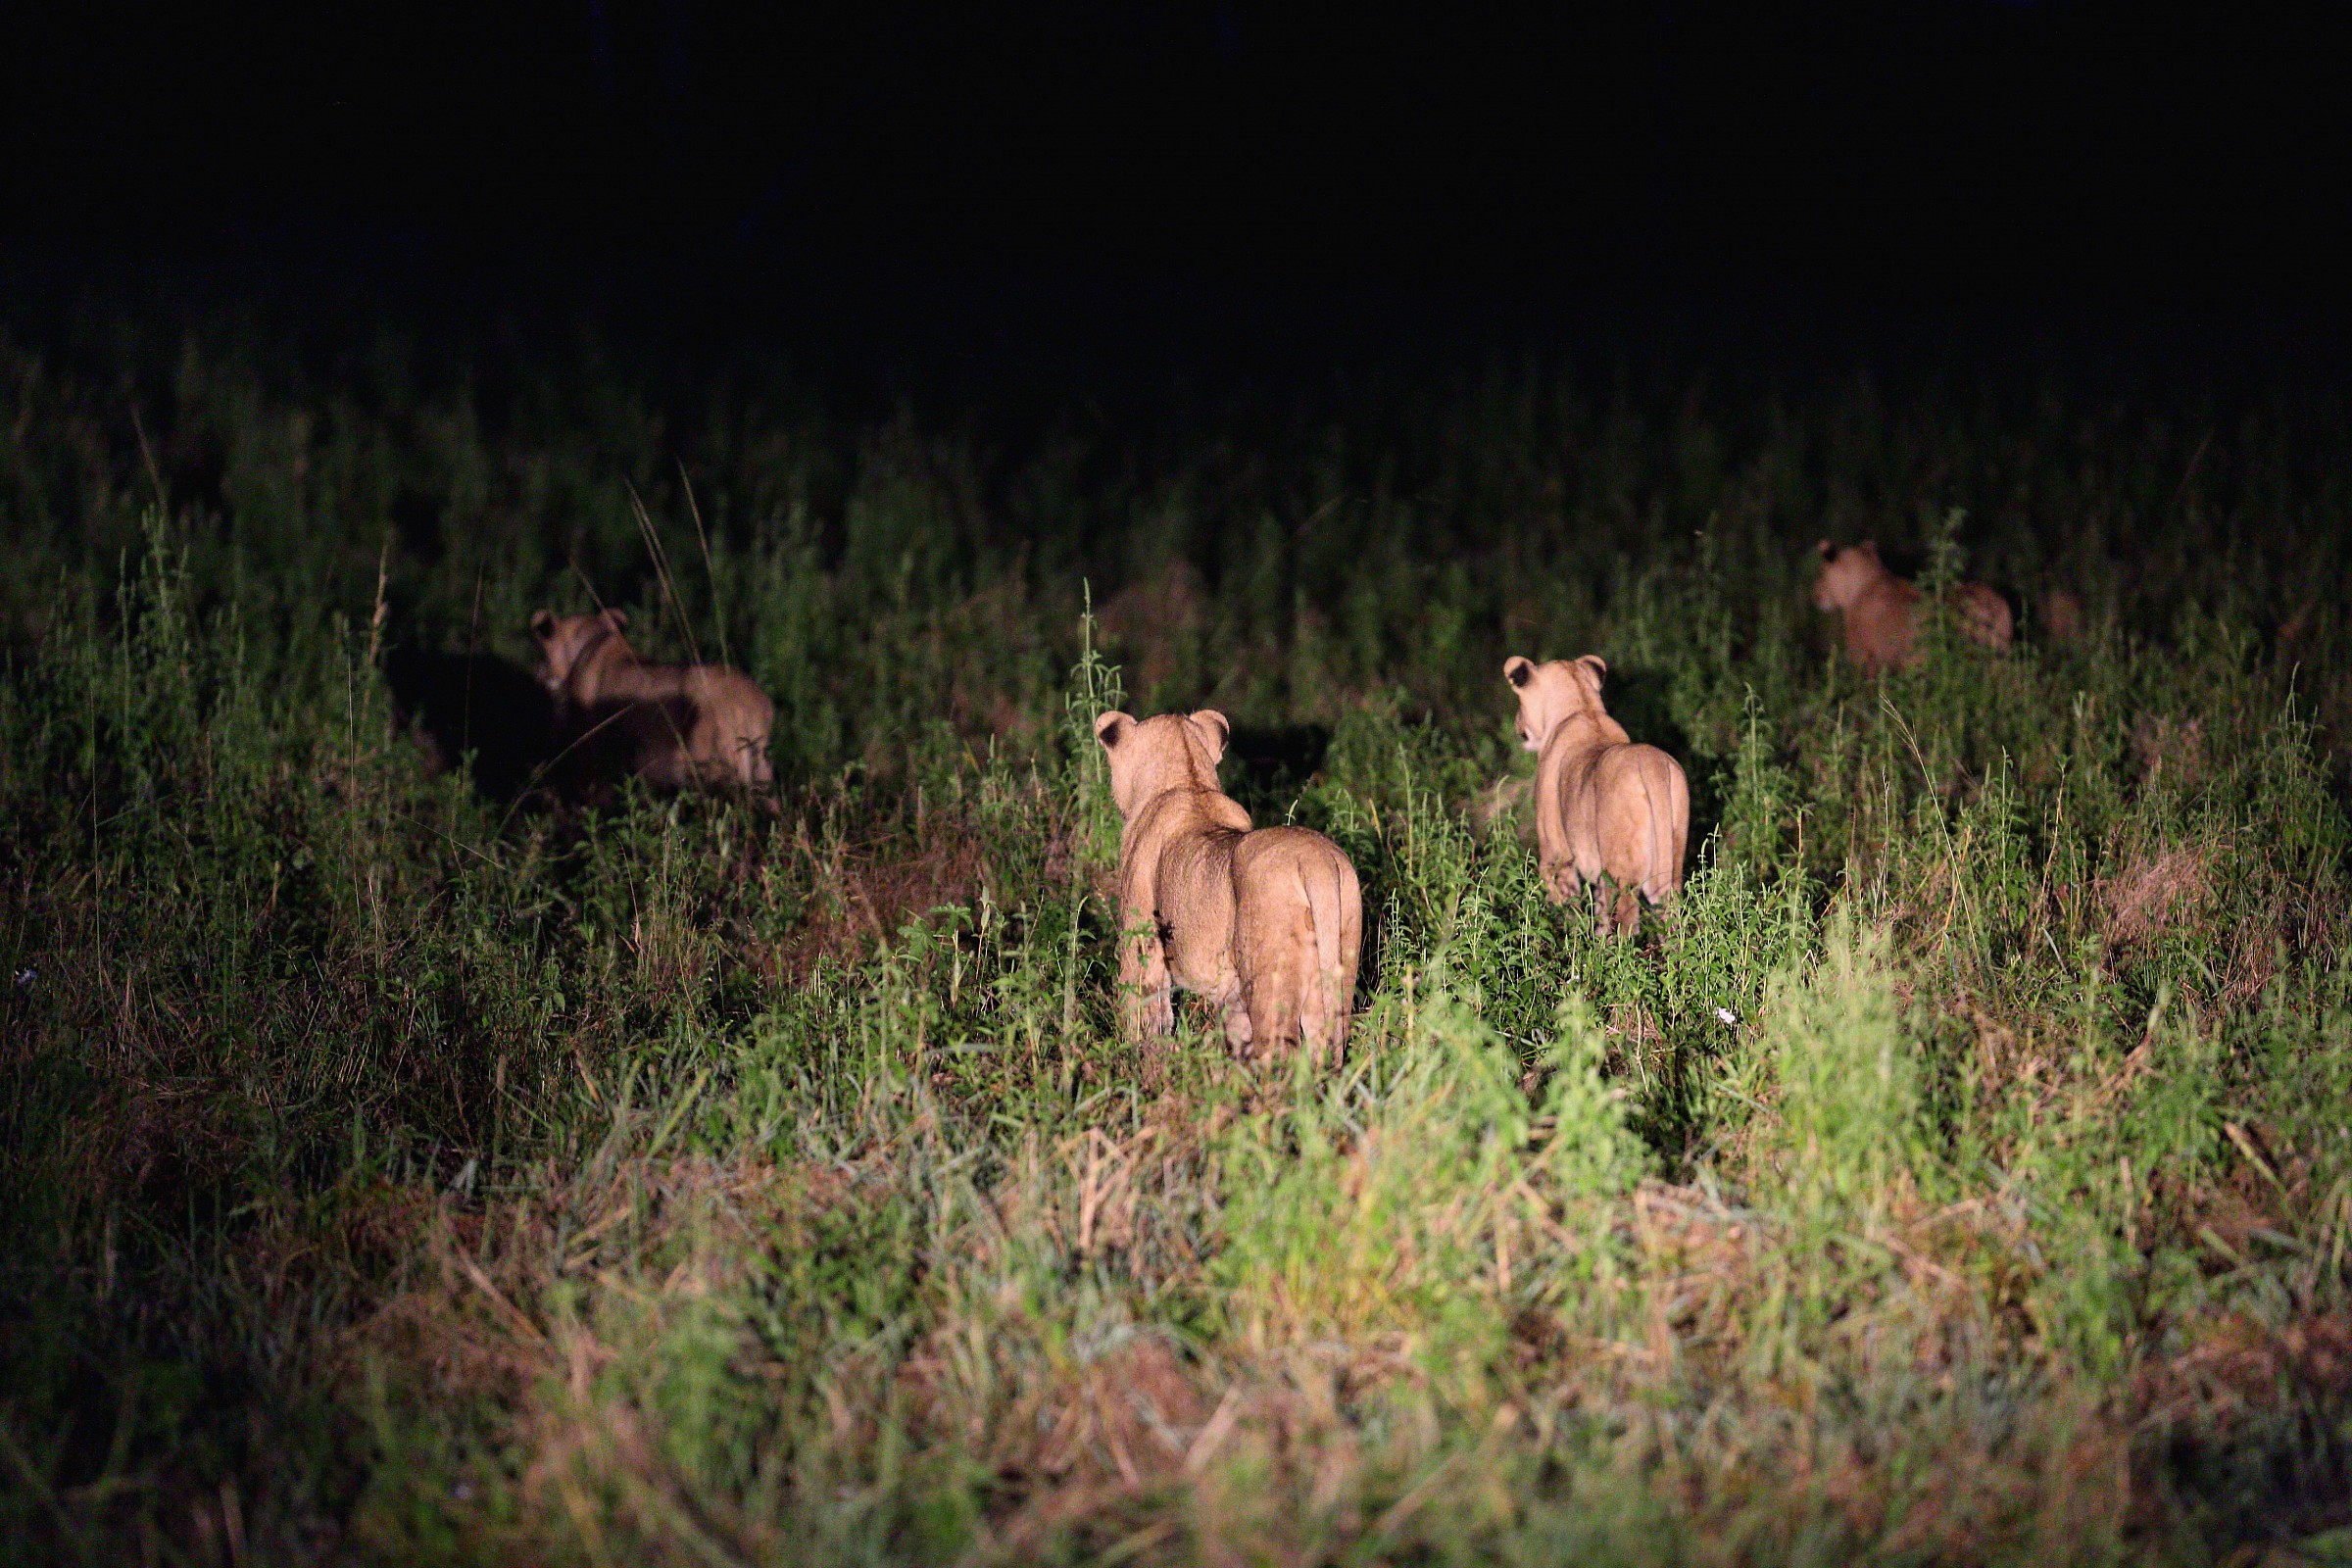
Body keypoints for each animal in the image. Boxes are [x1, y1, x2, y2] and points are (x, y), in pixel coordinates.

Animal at [529, 609, 774, 789]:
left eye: (542, 654)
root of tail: (750, 702)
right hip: (760, 766)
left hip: (714, 767)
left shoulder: (590, 750)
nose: (539, 674)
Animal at [1094, 709, 1362, 1062]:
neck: (1189, 782)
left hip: (1268, 981)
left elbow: (1146, 1017)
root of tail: (1317, 862)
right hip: (1337, 973)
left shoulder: (1142, 946)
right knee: (1327, 1042)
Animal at [1504, 655, 1689, 937]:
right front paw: (1597, 938)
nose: (1517, 724)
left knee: (1628, 920)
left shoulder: (1556, 854)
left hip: (1622, 870)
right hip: (1670, 863)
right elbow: (1600, 908)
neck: (1582, 708)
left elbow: (1565, 905)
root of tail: (1652, 764)